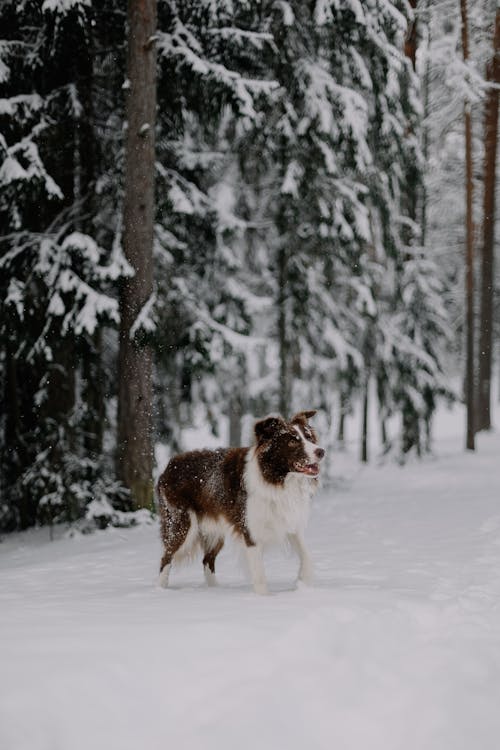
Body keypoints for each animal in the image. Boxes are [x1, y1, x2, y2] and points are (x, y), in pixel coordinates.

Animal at [156, 412, 324, 592]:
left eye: (309, 437)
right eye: (292, 441)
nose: (321, 451)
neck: (277, 479)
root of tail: (167, 468)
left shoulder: (289, 521)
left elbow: (306, 555)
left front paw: (303, 582)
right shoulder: (251, 530)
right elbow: (259, 574)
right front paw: (264, 596)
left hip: (214, 530)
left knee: (207, 560)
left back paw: (215, 590)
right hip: (182, 525)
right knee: (166, 557)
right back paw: (160, 590)